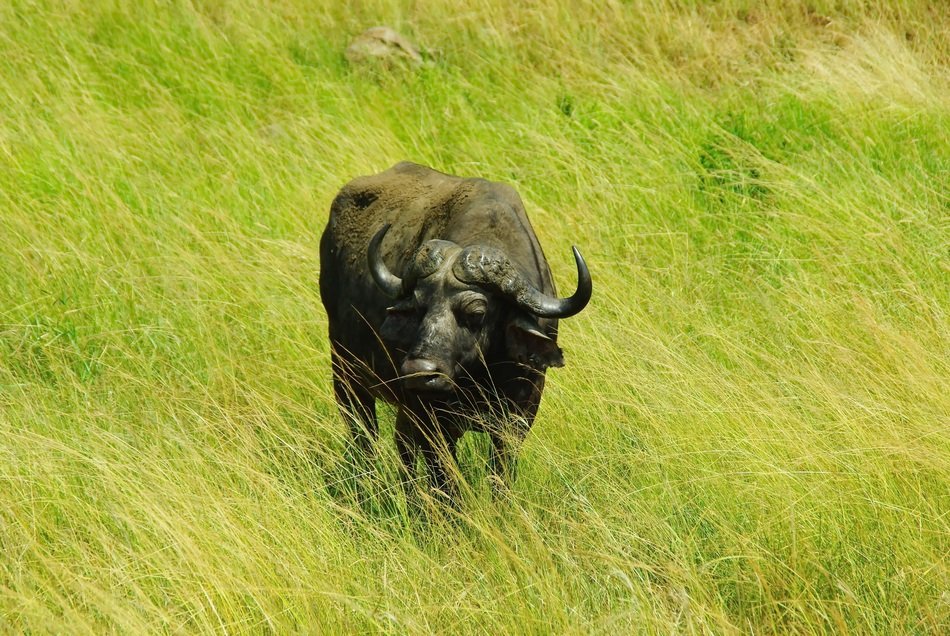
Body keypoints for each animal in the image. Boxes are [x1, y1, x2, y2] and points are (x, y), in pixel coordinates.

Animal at [319, 162, 591, 499]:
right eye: (419, 307)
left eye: (477, 312)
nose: (419, 372)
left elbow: (500, 478)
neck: (483, 375)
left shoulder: (517, 420)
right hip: (346, 373)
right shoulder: (435, 424)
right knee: (365, 438)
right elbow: (446, 484)